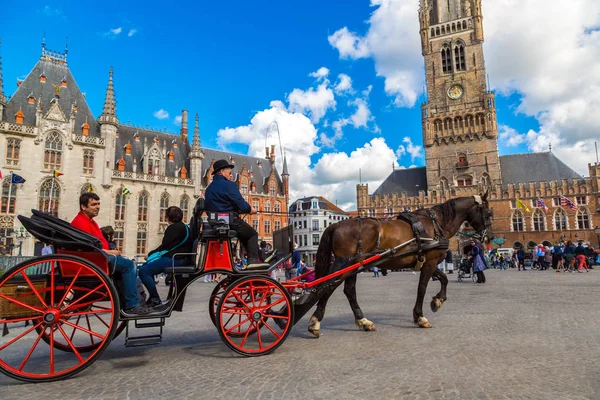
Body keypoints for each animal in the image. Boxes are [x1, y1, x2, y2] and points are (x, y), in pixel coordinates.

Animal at [296, 192, 492, 336]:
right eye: (489, 213)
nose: (486, 237)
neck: (436, 224)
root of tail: (336, 225)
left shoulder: (429, 261)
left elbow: (443, 278)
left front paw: (438, 300)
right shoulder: (430, 263)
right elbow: (422, 288)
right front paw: (420, 317)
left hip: (354, 265)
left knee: (348, 291)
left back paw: (363, 321)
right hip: (344, 263)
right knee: (327, 287)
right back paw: (315, 322)